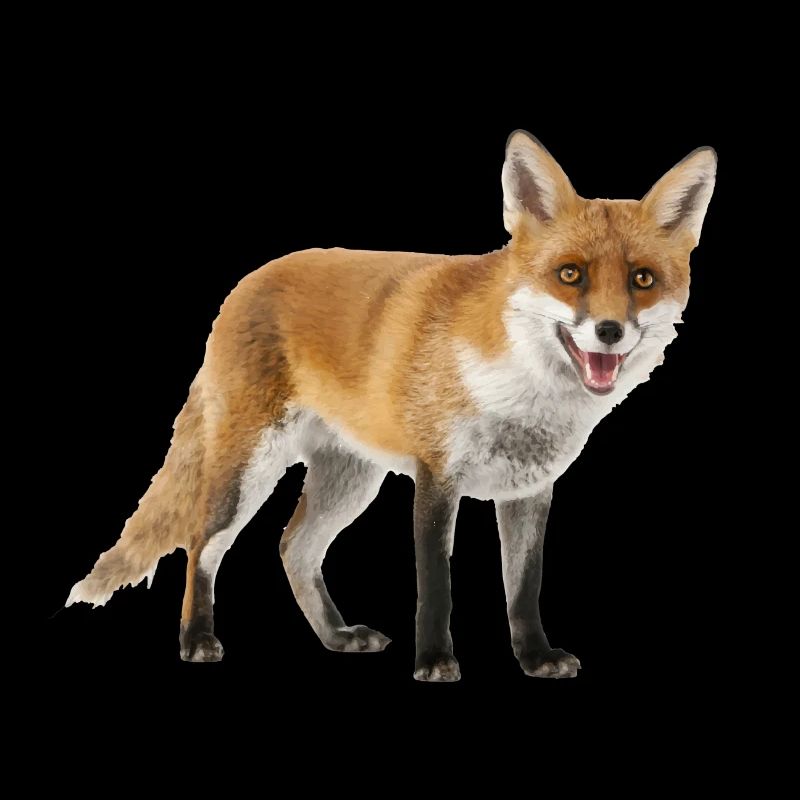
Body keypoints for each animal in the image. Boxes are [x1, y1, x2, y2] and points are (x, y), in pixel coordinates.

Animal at [66, 131, 716, 681]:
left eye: (641, 280)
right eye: (571, 275)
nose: (609, 332)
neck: (520, 394)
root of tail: (247, 281)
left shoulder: (529, 489)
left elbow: (524, 589)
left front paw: (534, 658)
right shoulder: (436, 478)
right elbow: (436, 586)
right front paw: (433, 662)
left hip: (351, 481)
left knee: (293, 547)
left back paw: (336, 637)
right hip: (248, 472)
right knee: (202, 545)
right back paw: (197, 639)